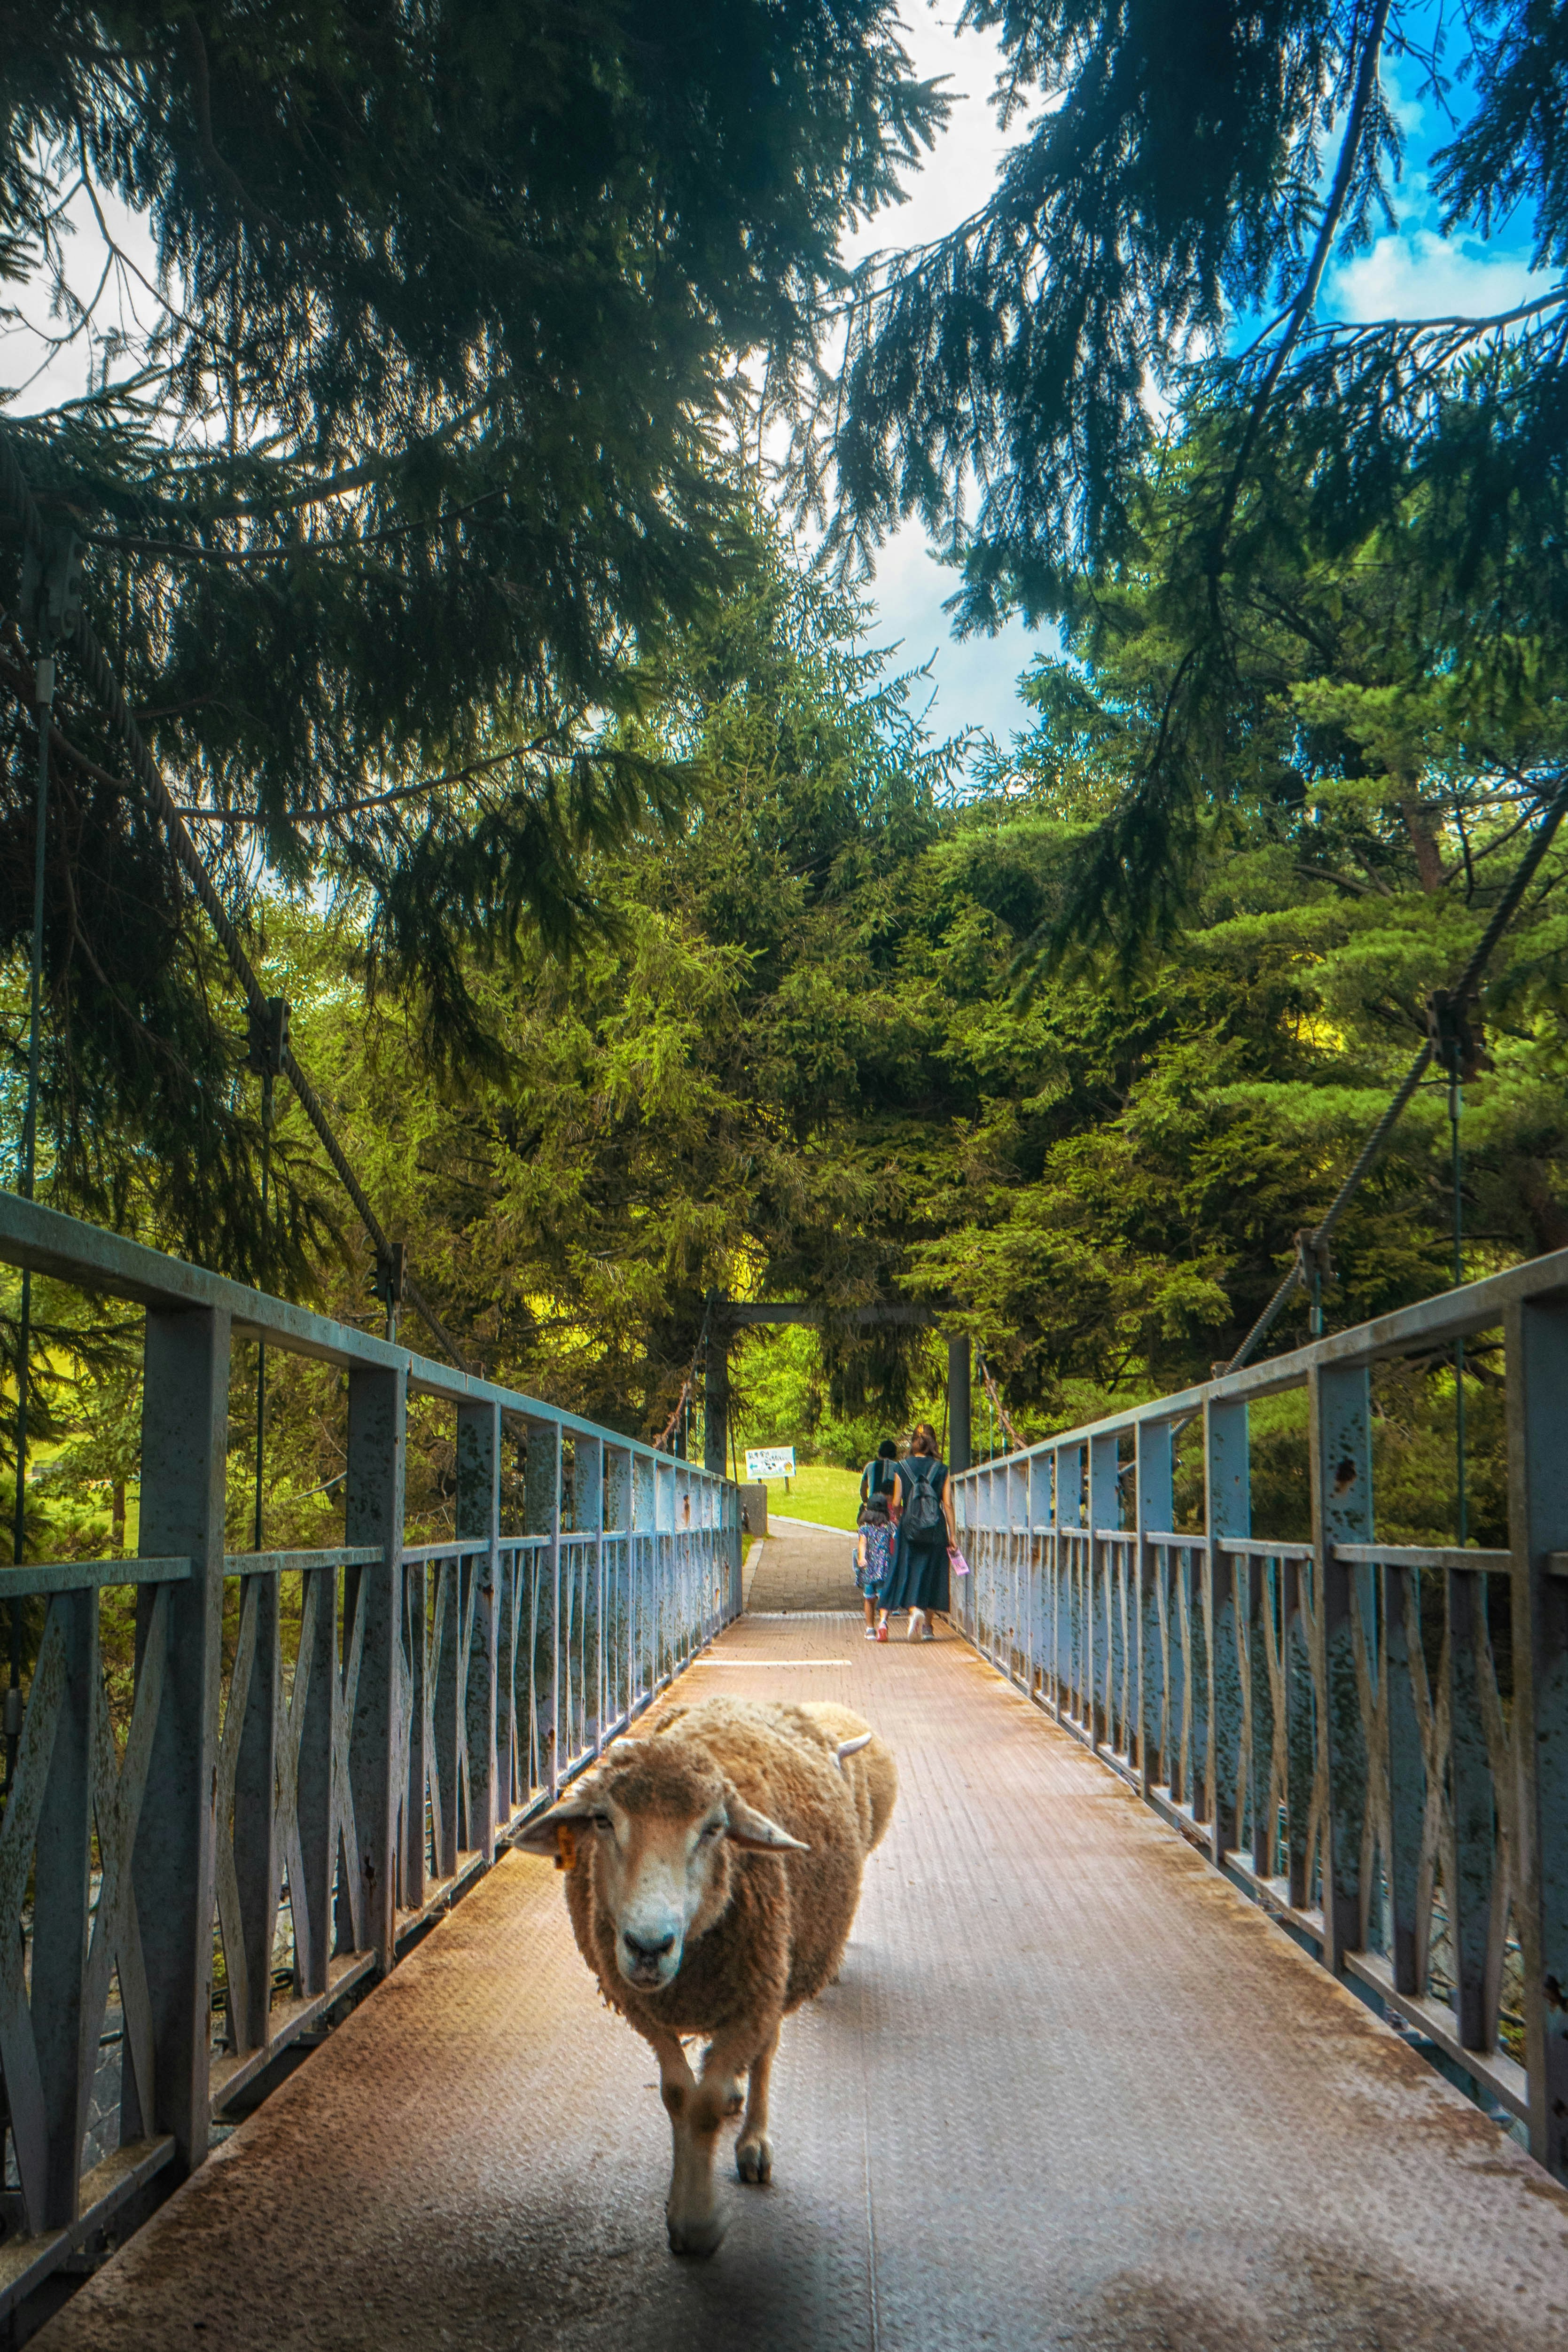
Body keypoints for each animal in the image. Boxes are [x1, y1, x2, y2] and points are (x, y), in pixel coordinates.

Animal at [522, 1703, 903, 2248]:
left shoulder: (756, 1996)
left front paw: (697, 2222)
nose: (648, 1946)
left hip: (776, 1974)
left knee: (765, 2054)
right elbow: (680, 2094)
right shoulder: (642, 2008)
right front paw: (682, 2211)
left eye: (713, 1828)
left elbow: (707, 2101)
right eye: (602, 1820)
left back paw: (752, 2138)